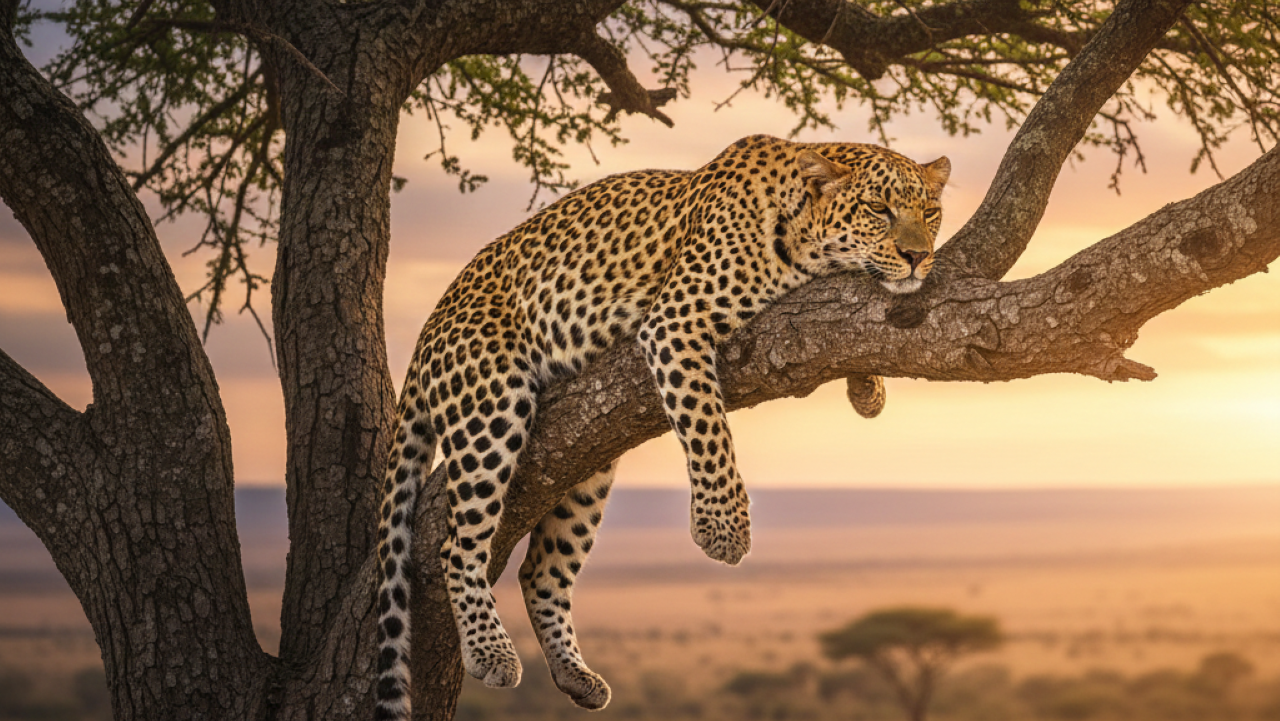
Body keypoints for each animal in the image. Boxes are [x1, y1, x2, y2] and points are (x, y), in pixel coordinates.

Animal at [372, 134, 949, 720]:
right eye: (878, 209)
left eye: (930, 212)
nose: (919, 256)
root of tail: (427, 332)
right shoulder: (675, 321)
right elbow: (708, 425)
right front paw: (724, 527)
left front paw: (868, 390)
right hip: (490, 407)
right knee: (457, 546)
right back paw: (491, 651)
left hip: (588, 460)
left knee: (541, 572)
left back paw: (576, 675)